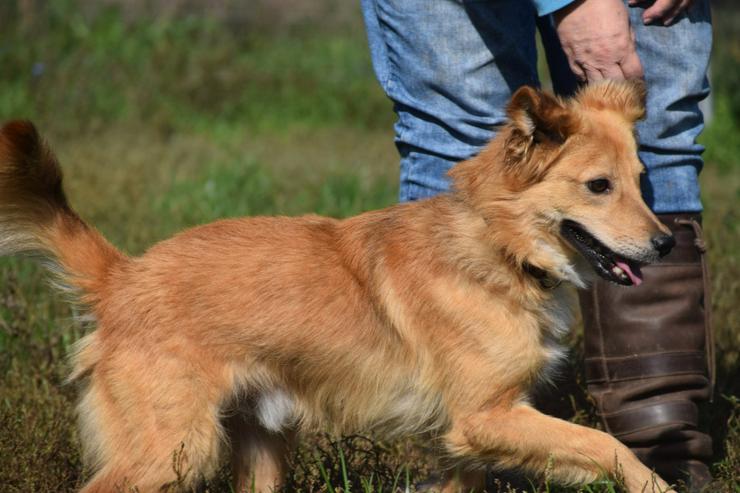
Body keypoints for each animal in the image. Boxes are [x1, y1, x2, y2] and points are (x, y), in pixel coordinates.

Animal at [0, 80, 680, 492]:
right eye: (598, 186)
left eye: (641, 181)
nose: (666, 244)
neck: (496, 246)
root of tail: (124, 277)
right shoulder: (485, 417)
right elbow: (607, 446)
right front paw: (656, 483)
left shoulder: (471, 440)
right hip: (173, 449)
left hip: (259, 447)